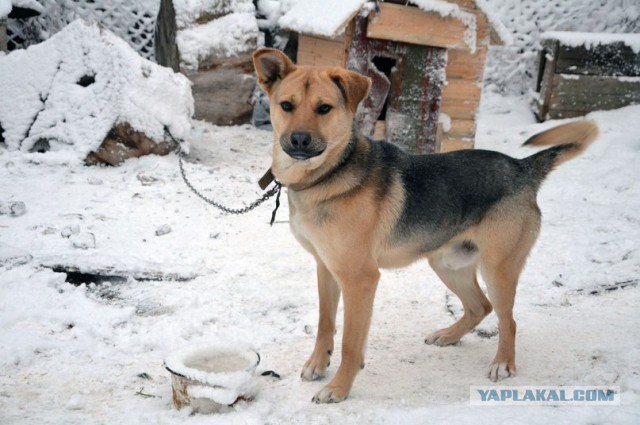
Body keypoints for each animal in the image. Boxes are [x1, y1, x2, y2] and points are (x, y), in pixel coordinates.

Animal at [251, 48, 600, 402]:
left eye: (324, 108)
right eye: (286, 105)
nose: (299, 140)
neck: (327, 176)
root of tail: (522, 167)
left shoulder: (360, 278)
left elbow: (351, 343)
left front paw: (338, 387)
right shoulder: (326, 267)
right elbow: (325, 322)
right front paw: (318, 364)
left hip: (497, 269)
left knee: (508, 320)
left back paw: (503, 363)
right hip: (447, 263)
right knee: (480, 306)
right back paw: (449, 336)